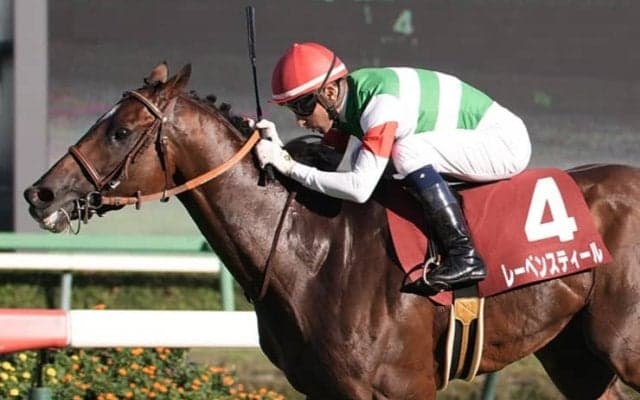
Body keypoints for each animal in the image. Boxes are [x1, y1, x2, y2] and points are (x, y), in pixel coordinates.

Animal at [24, 63, 640, 399]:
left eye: (121, 130)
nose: (40, 195)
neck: (315, 255)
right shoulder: (320, 387)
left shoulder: (401, 388)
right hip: (573, 355)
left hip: (622, 345)